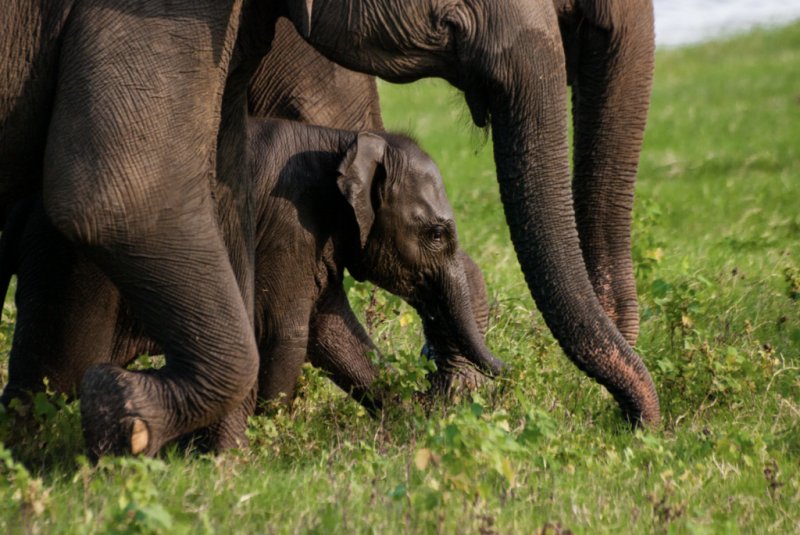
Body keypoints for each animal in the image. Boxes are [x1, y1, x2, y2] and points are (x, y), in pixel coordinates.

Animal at [0, 119, 504, 450]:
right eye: (436, 234)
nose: (507, 369)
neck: (341, 140)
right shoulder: (288, 223)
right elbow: (289, 334)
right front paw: (256, 441)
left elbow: (331, 331)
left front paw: (408, 422)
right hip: (73, 271)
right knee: (57, 376)